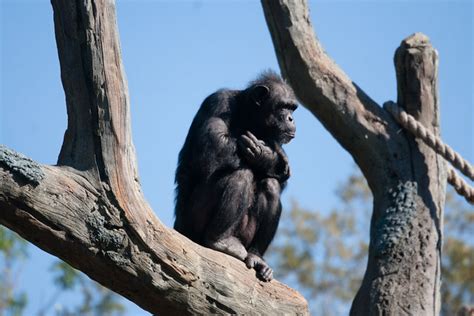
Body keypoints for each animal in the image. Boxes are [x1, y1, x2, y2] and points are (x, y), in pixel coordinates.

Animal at [174, 71, 298, 282]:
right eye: (283, 106)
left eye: (292, 108)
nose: (290, 118)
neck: (249, 116)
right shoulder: (217, 102)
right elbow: (213, 144)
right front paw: (267, 155)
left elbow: (280, 180)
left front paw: (268, 157)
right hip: (191, 224)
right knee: (240, 174)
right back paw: (220, 241)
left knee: (270, 185)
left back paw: (257, 258)